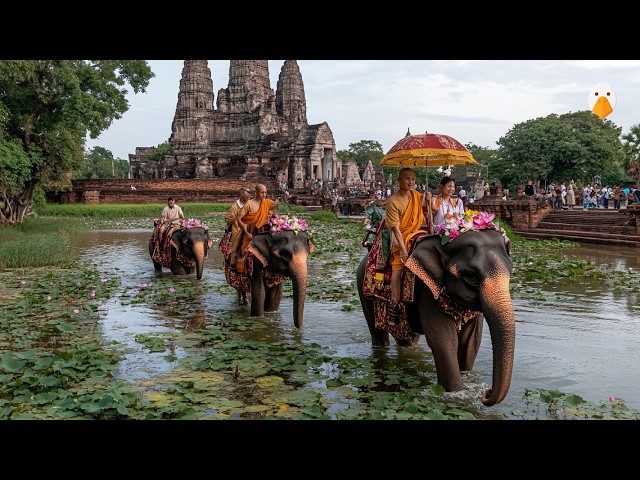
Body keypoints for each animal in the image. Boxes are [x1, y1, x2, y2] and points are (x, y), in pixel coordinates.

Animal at [356, 227, 516, 406]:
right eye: (471, 276)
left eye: (510, 272)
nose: (486, 393)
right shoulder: (427, 290)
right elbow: (443, 341)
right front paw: (456, 394)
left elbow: (471, 342)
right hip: (363, 290)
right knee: (378, 334)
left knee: (407, 338)